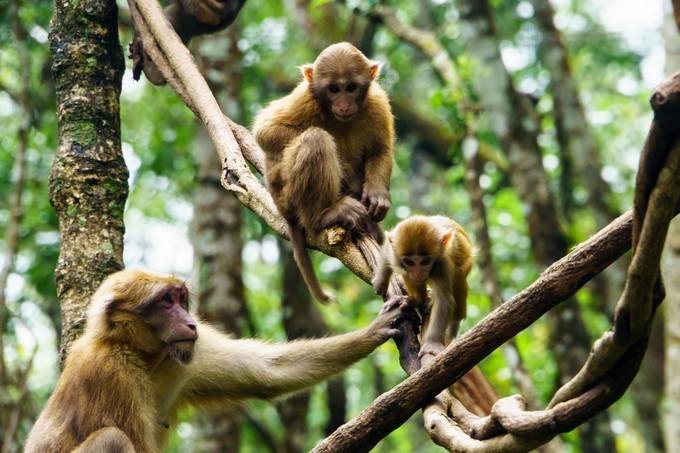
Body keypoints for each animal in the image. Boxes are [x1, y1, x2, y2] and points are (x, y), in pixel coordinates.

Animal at [26, 270, 406, 450]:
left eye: (181, 299)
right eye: (166, 301)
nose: (190, 321)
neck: (139, 354)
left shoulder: (188, 356)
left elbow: (271, 372)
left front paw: (376, 329)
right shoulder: (109, 372)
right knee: (112, 439)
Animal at [254, 42, 394, 304]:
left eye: (351, 88)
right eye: (333, 89)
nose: (344, 104)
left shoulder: (378, 102)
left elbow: (381, 150)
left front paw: (377, 196)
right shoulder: (304, 98)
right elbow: (266, 131)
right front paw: (344, 169)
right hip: (286, 195)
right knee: (315, 138)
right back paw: (323, 216)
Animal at [372, 214, 472, 358]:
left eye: (425, 262)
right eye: (410, 262)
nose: (418, 273)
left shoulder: (442, 265)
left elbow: (444, 299)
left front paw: (432, 343)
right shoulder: (395, 250)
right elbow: (387, 250)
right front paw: (381, 280)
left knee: (458, 276)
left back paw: (455, 319)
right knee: (406, 274)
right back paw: (416, 300)